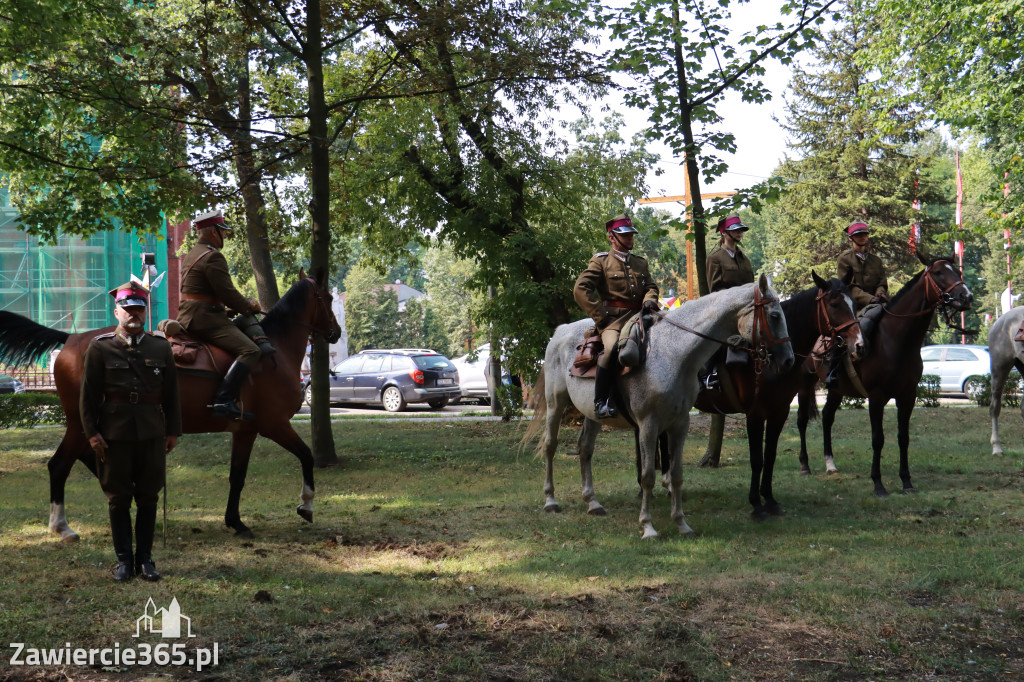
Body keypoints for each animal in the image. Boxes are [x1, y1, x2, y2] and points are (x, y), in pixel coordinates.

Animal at [0, 268, 344, 540]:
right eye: (327, 298)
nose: (337, 332)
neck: (274, 351)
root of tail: (71, 340)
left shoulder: (245, 431)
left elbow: (237, 476)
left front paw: (235, 522)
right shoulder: (275, 425)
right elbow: (306, 455)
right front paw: (306, 504)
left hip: (88, 426)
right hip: (79, 423)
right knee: (59, 465)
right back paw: (63, 527)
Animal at [524, 274, 794, 536]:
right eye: (774, 315)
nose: (789, 360)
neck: (674, 352)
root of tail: (561, 331)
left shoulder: (680, 423)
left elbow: (676, 474)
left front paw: (682, 524)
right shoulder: (648, 425)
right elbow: (647, 476)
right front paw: (648, 526)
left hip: (592, 414)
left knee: (585, 449)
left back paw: (592, 502)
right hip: (555, 404)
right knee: (550, 446)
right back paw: (551, 501)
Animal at [688, 270, 864, 516]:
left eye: (854, 304)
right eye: (835, 304)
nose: (859, 344)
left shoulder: (779, 411)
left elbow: (770, 456)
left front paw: (769, 500)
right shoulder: (754, 414)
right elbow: (756, 459)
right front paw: (756, 503)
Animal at [794, 253, 970, 493]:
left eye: (958, 272)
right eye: (938, 273)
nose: (966, 296)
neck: (897, 340)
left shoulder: (908, 396)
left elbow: (903, 437)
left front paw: (906, 481)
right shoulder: (876, 397)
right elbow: (878, 438)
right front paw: (878, 483)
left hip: (836, 390)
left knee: (827, 417)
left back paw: (830, 464)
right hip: (804, 385)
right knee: (802, 420)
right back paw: (804, 465)